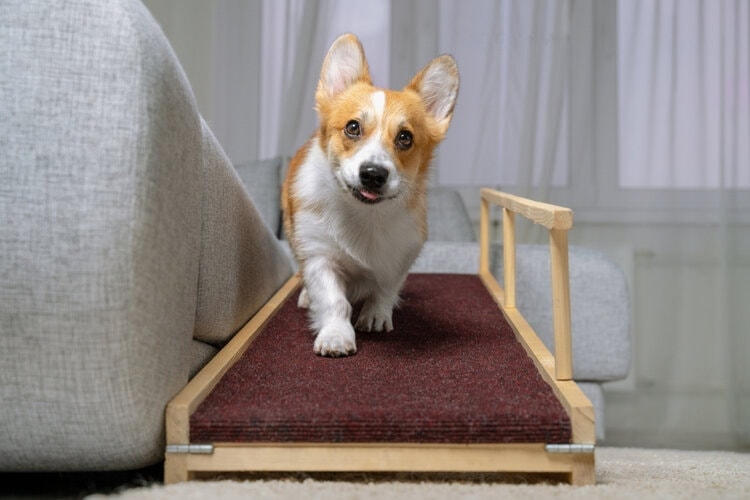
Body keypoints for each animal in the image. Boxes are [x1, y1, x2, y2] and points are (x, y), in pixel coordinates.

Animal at [282, 33, 458, 358]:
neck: (365, 215)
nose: (373, 174)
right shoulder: (319, 256)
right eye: (353, 127)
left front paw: (376, 315)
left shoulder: (401, 256)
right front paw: (336, 336)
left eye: (405, 138)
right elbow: (334, 300)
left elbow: (386, 289)